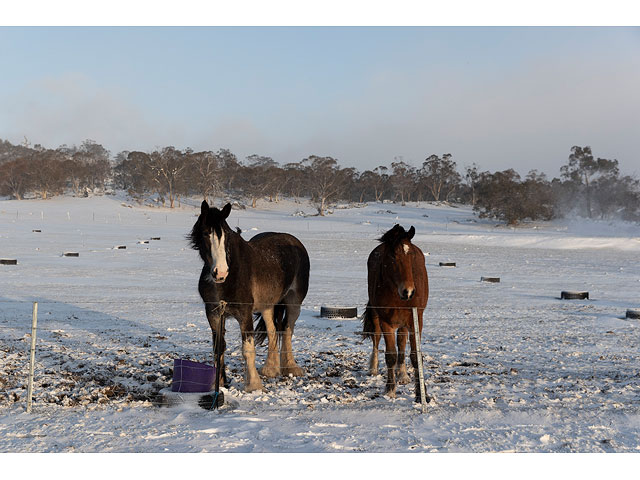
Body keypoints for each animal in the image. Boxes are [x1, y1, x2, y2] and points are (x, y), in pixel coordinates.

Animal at [188, 201, 310, 392]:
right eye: (206, 233)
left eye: (227, 236)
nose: (220, 272)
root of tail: (294, 242)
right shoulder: (214, 313)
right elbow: (218, 348)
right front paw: (219, 383)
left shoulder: (244, 314)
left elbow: (248, 349)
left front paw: (253, 385)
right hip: (267, 305)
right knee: (273, 330)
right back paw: (270, 369)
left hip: (294, 302)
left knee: (287, 330)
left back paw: (290, 367)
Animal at [362, 225, 428, 402]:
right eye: (393, 256)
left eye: (411, 255)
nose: (409, 291)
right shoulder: (386, 322)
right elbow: (390, 355)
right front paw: (390, 389)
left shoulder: (415, 320)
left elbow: (415, 356)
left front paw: (421, 393)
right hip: (377, 317)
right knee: (377, 339)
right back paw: (374, 367)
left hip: (405, 323)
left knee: (402, 343)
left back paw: (403, 373)